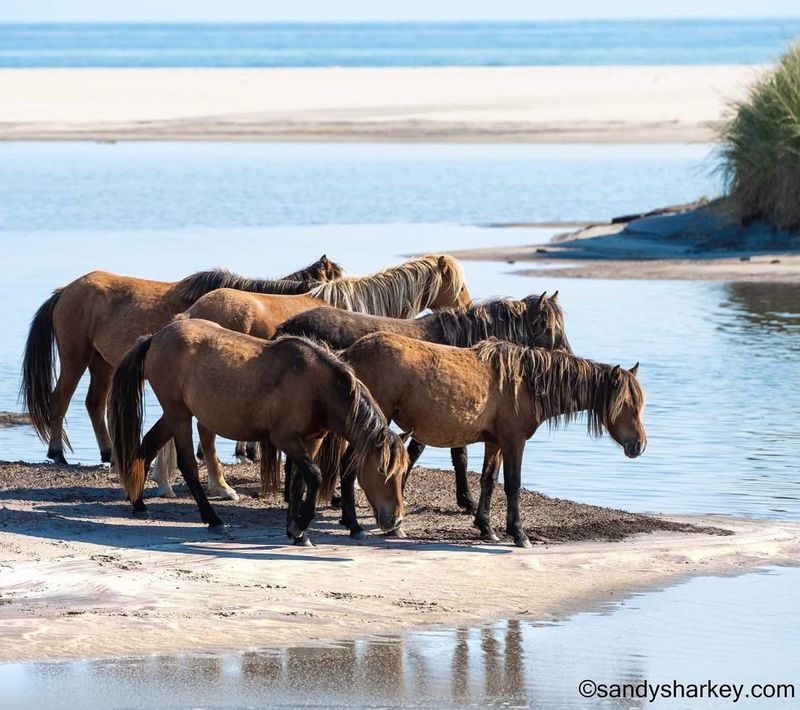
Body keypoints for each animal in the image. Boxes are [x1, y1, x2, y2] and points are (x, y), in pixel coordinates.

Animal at [18, 256, 338, 468]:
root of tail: (64, 292)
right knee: (60, 400)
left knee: (94, 404)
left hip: (102, 363)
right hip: (76, 357)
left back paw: (108, 453)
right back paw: (58, 453)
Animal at [108, 320, 406, 548]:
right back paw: (214, 520)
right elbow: (314, 476)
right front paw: (299, 527)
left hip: (173, 416)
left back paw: (139, 504)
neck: (317, 387)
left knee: (146, 447)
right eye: (382, 470)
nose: (395, 519)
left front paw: (296, 531)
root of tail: (155, 338)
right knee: (188, 465)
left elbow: (299, 482)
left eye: (403, 473)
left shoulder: (310, 441)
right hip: (179, 414)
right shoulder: (286, 439)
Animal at [150, 256, 472, 500]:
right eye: (459, 285)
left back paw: (169, 481)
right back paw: (219, 487)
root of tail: (190, 313)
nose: (467, 306)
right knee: (204, 433)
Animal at [316, 336, 648, 552]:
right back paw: (356, 525)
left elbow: (489, 481)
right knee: (350, 468)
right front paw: (519, 534)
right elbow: (512, 485)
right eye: (626, 405)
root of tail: (352, 352)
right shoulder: (514, 442)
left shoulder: (495, 443)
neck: (524, 383)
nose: (640, 446)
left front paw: (486, 528)